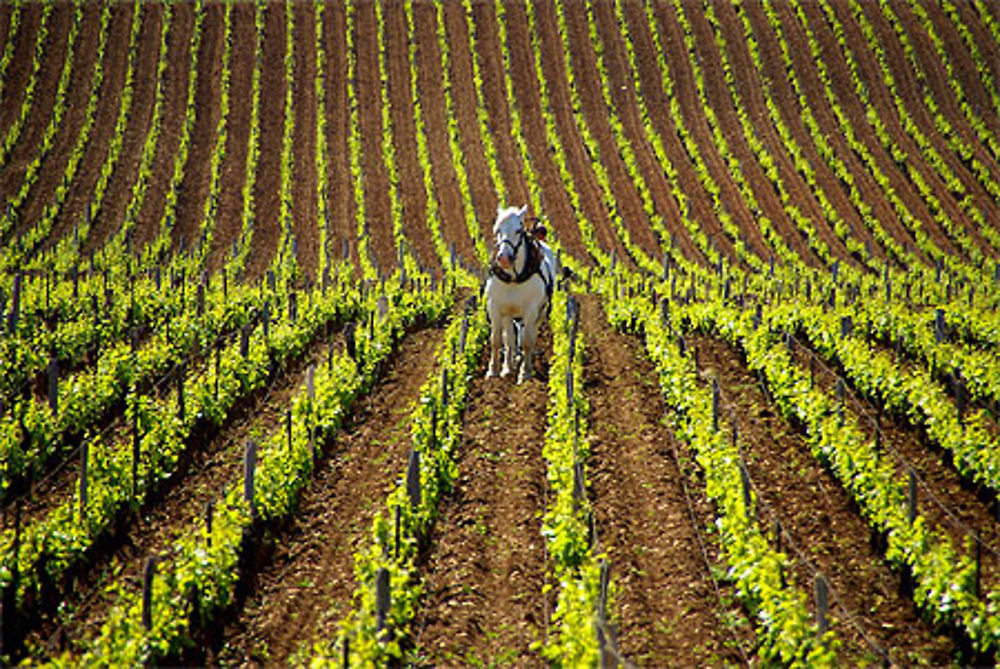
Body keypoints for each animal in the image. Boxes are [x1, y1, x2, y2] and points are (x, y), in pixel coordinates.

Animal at [482, 205, 556, 380]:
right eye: (497, 230)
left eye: (518, 230)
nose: (503, 258)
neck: (513, 278)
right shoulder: (495, 306)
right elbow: (496, 339)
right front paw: (493, 370)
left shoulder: (531, 310)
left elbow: (527, 342)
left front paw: (525, 373)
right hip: (508, 313)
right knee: (509, 339)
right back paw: (508, 368)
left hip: (540, 313)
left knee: (531, 336)